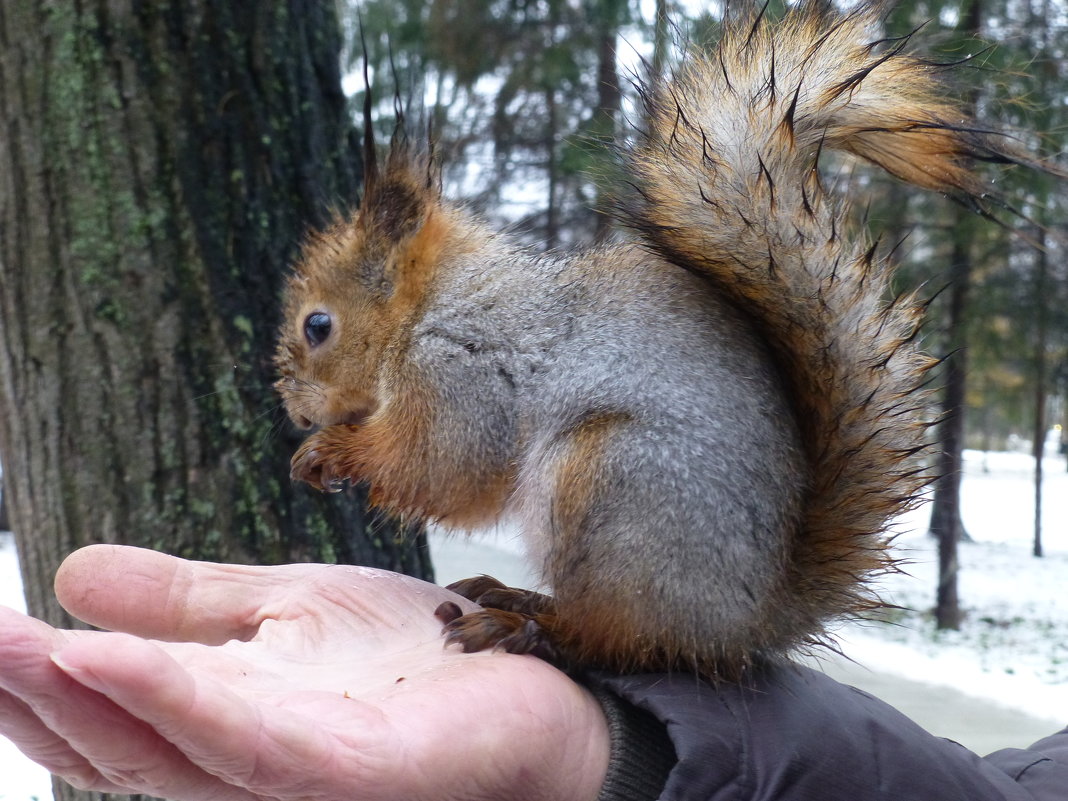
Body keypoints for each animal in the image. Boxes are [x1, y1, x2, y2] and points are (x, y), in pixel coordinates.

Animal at [277, 3, 1050, 679]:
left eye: (319, 325)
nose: (294, 407)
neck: (430, 306)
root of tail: (745, 623)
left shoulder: (460, 373)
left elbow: (443, 466)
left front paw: (332, 452)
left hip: (615, 485)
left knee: (619, 637)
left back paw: (528, 625)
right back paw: (519, 598)